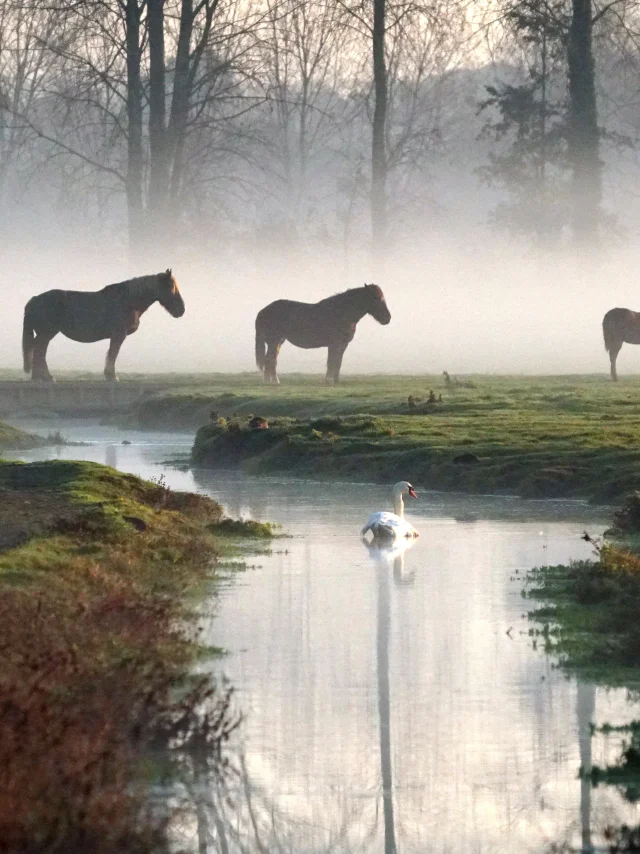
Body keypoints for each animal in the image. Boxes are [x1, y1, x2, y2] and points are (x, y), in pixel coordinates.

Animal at [22, 269, 185, 382]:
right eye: (170, 286)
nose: (181, 310)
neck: (128, 301)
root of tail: (35, 299)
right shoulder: (119, 334)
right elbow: (113, 354)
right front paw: (112, 376)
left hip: (46, 334)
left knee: (39, 350)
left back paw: (40, 377)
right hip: (46, 333)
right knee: (39, 350)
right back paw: (45, 377)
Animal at [255, 283, 391, 385]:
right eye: (376, 298)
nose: (387, 318)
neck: (342, 313)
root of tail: (263, 311)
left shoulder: (343, 345)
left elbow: (338, 363)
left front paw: (336, 381)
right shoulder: (334, 344)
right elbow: (331, 362)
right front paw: (329, 381)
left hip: (279, 341)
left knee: (271, 360)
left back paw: (272, 381)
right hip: (274, 341)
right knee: (270, 360)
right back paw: (272, 382)